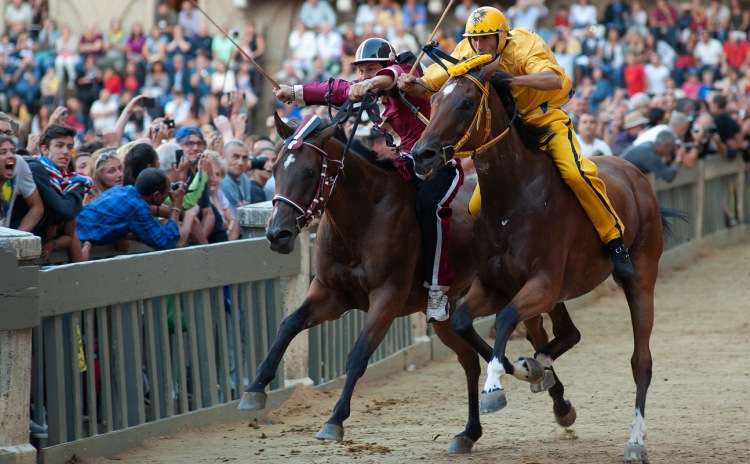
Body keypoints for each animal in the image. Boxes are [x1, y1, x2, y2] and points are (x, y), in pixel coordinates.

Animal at [241, 112, 580, 454]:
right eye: (275, 168)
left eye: (309, 171)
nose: (277, 234)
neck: (364, 215)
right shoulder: (330, 293)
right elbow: (288, 324)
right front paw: (254, 388)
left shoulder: (387, 296)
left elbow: (359, 353)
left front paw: (335, 419)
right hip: (446, 312)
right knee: (471, 360)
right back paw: (473, 428)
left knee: (541, 335)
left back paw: (554, 395)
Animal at [412, 61, 668, 464]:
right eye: (434, 100)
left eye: (466, 103)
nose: (422, 155)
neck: (513, 198)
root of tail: (634, 173)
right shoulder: (495, 284)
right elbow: (465, 320)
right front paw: (524, 370)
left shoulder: (543, 284)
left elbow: (503, 320)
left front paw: (496, 387)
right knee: (567, 334)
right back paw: (540, 366)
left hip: (641, 275)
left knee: (641, 361)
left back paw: (635, 442)